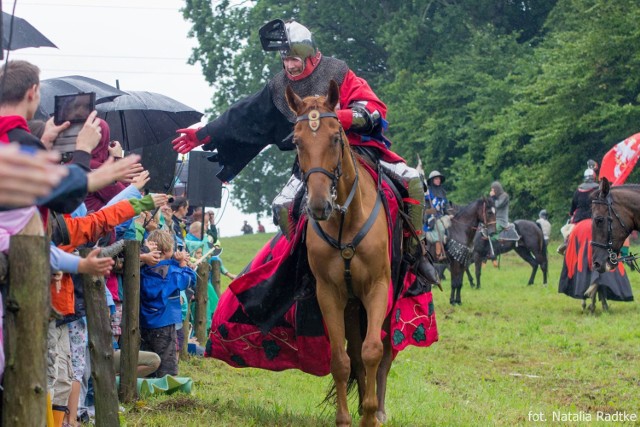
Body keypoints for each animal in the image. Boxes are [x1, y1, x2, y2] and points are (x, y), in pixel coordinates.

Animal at [284, 81, 390, 427]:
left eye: (335, 136)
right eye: (297, 141)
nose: (319, 205)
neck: (346, 219)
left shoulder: (378, 287)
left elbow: (374, 350)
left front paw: (369, 416)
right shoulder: (329, 293)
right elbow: (341, 360)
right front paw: (345, 418)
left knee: (384, 353)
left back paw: (378, 409)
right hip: (352, 307)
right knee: (354, 355)